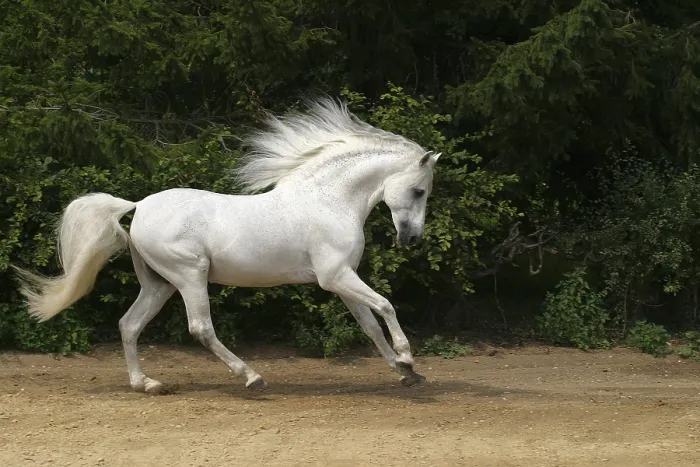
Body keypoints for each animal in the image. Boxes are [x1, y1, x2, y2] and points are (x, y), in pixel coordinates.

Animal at [14, 98, 441, 393]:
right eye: (419, 191)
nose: (412, 239)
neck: (329, 200)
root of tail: (137, 206)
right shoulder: (335, 276)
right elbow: (385, 305)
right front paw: (407, 357)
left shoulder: (342, 280)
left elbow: (369, 324)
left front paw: (406, 373)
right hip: (190, 275)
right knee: (200, 328)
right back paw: (251, 377)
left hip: (159, 283)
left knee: (129, 324)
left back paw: (147, 384)